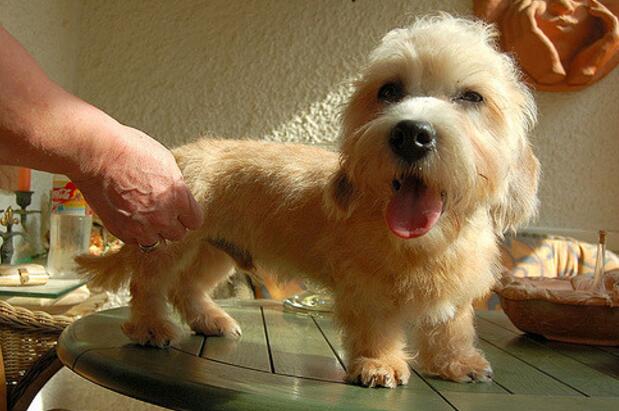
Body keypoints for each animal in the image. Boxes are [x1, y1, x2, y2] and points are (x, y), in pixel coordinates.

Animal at [77, 15, 539, 388]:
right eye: (389, 90)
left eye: (472, 97)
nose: (412, 134)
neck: (425, 243)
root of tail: (178, 155)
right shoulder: (364, 289)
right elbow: (375, 328)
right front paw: (379, 364)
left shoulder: (457, 293)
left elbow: (452, 327)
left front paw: (456, 363)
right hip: (170, 244)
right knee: (149, 286)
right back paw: (150, 328)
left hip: (215, 252)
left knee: (186, 287)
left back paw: (211, 319)